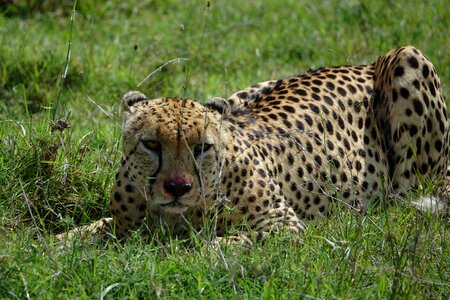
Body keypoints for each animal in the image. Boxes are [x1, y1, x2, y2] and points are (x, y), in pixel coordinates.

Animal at [59, 47, 446, 243]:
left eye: (202, 148)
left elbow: (220, 244)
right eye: (151, 144)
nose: (177, 188)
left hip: (408, 59)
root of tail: (363, 63)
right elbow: (84, 232)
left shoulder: (284, 227)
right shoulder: (120, 223)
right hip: (239, 95)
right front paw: (53, 246)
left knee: (404, 200)